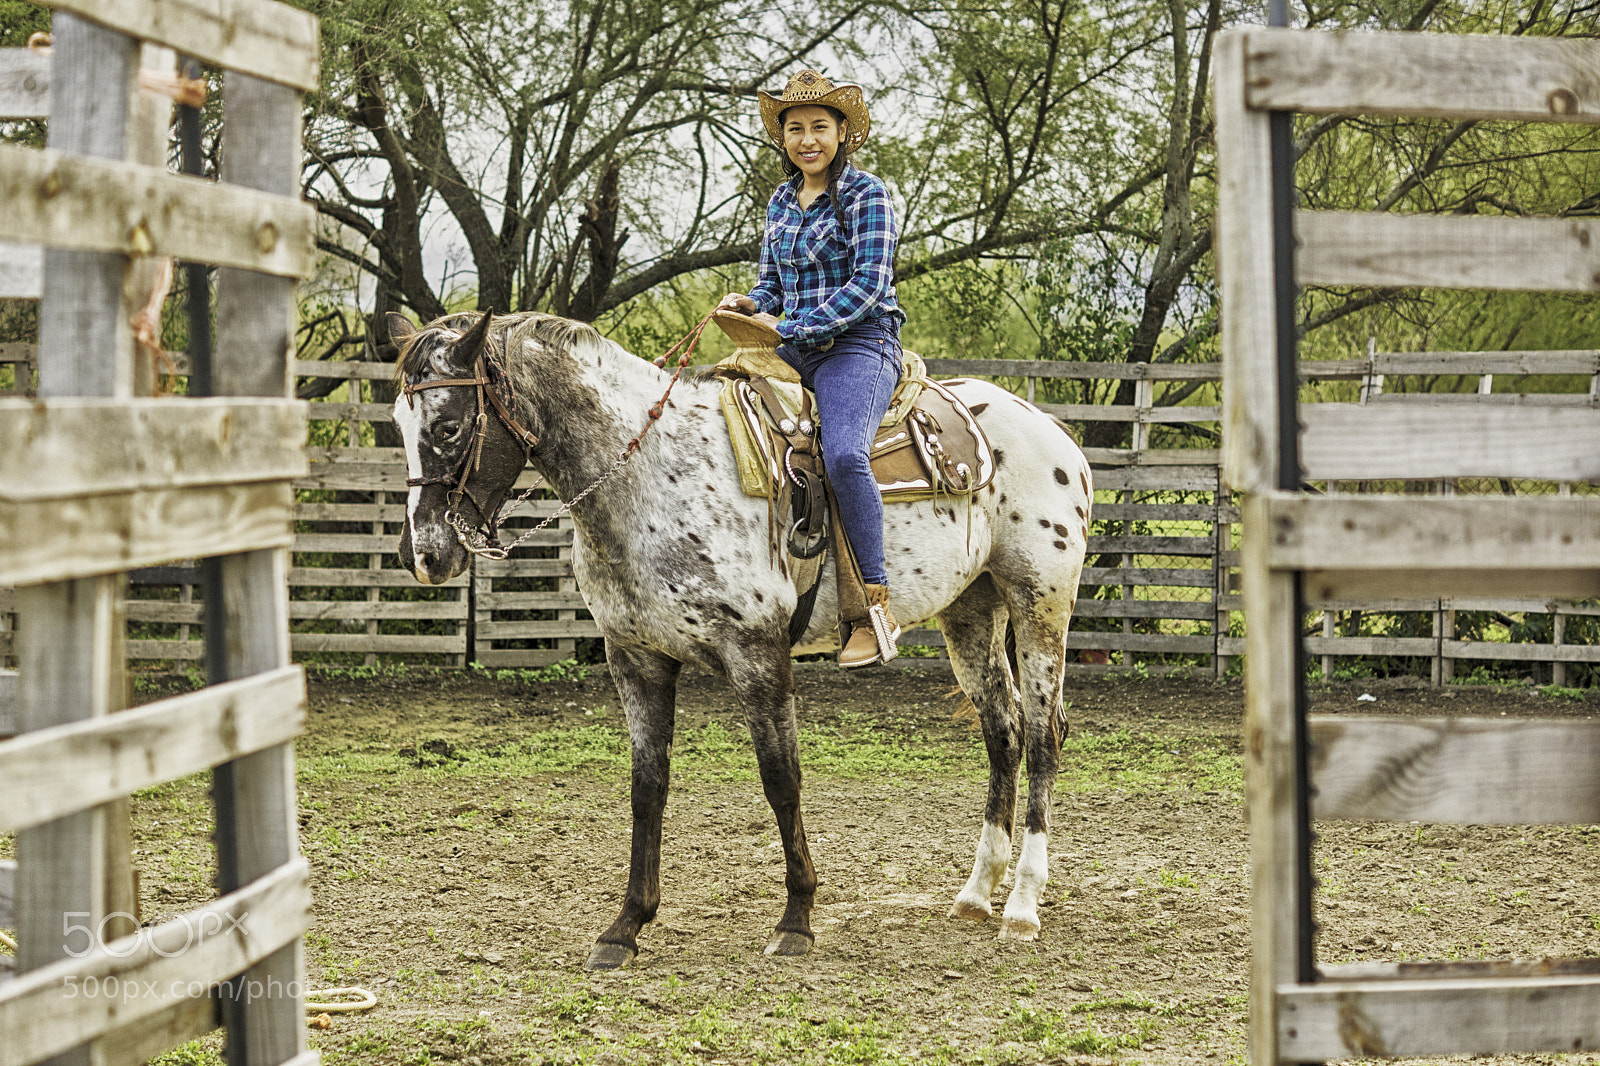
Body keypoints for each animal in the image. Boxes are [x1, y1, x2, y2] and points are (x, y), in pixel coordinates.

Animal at [388, 309, 1092, 970]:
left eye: (448, 426)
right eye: (398, 423)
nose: (423, 554)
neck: (652, 478)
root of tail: (1055, 433)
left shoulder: (757, 655)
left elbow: (781, 779)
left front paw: (796, 921)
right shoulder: (636, 659)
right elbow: (648, 787)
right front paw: (625, 927)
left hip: (1040, 605)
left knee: (1041, 736)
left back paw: (1022, 905)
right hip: (971, 611)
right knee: (1002, 731)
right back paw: (976, 894)